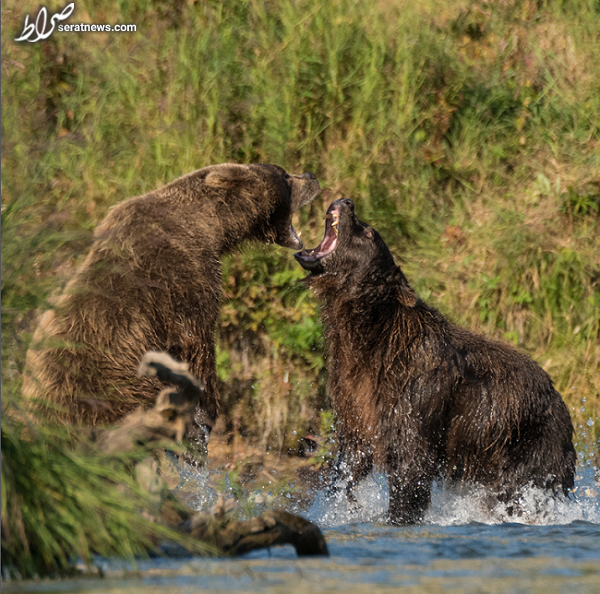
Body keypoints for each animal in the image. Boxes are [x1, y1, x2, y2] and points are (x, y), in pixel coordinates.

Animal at [24, 162, 322, 444]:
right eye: (284, 175)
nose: (311, 176)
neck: (210, 228)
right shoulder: (179, 277)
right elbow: (196, 341)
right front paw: (207, 409)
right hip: (107, 387)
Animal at [296, 198, 576, 524]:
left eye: (368, 232)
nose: (346, 202)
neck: (367, 334)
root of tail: (559, 399)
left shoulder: (414, 387)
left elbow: (411, 461)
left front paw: (398, 515)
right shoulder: (354, 392)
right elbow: (351, 456)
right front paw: (336, 503)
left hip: (528, 441)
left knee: (520, 489)